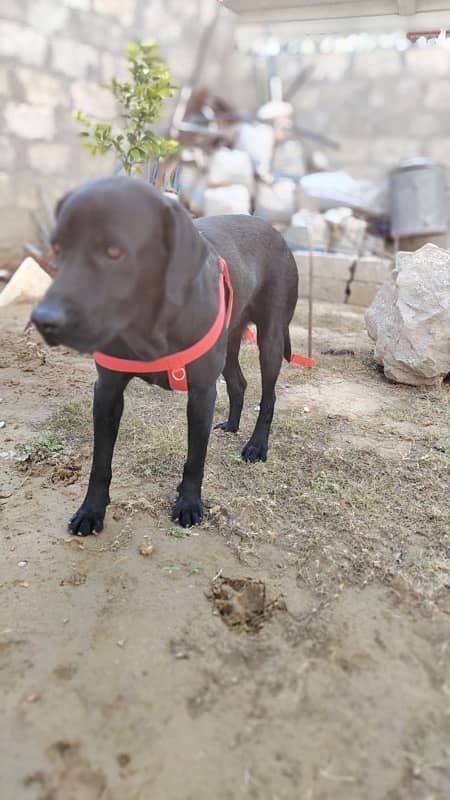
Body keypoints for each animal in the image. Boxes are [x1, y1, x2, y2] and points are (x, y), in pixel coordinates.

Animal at [31, 175, 298, 532]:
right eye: (58, 249)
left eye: (114, 252)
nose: (43, 320)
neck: (149, 323)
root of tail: (272, 229)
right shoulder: (107, 392)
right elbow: (100, 462)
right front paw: (91, 510)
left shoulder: (201, 393)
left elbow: (195, 458)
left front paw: (189, 503)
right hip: (228, 343)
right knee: (238, 383)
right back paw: (231, 424)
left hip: (270, 341)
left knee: (268, 397)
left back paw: (256, 445)